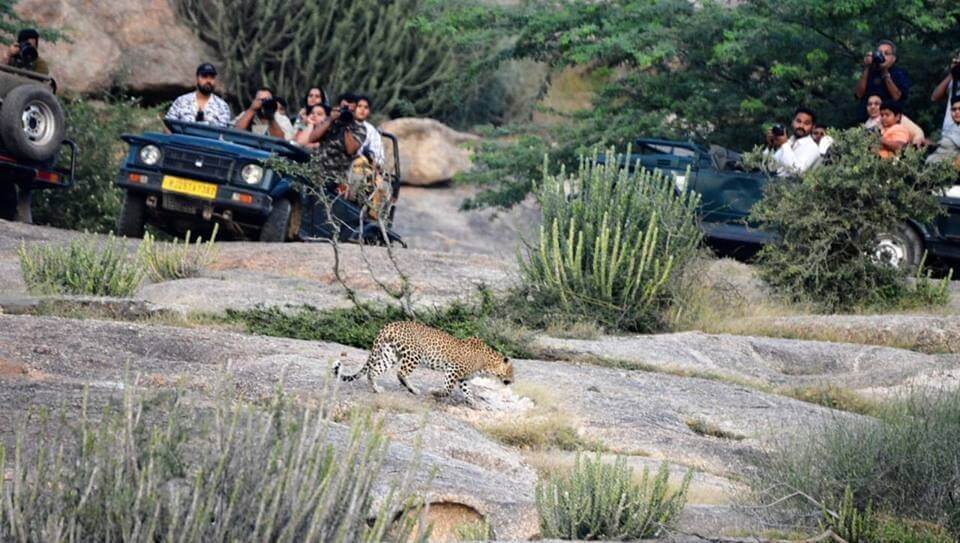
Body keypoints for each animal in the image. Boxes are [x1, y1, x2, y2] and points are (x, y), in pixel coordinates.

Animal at [332, 321, 514, 405]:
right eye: (511, 372)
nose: (512, 382)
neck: (487, 364)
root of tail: (389, 325)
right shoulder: (454, 370)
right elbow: (447, 389)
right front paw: (435, 392)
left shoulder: (463, 378)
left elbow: (467, 391)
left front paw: (472, 403)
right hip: (414, 354)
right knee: (401, 373)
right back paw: (413, 389)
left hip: (390, 354)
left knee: (373, 371)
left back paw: (376, 389)